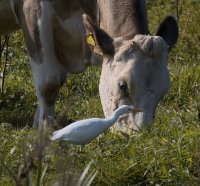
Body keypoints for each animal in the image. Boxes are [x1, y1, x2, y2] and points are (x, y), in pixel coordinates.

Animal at [0, 0, 178, 132]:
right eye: (123, 86)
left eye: (164, 91)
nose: (138, 133)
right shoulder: (32, 11)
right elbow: (49, 83)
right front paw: (46, 131)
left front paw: (38, 124)